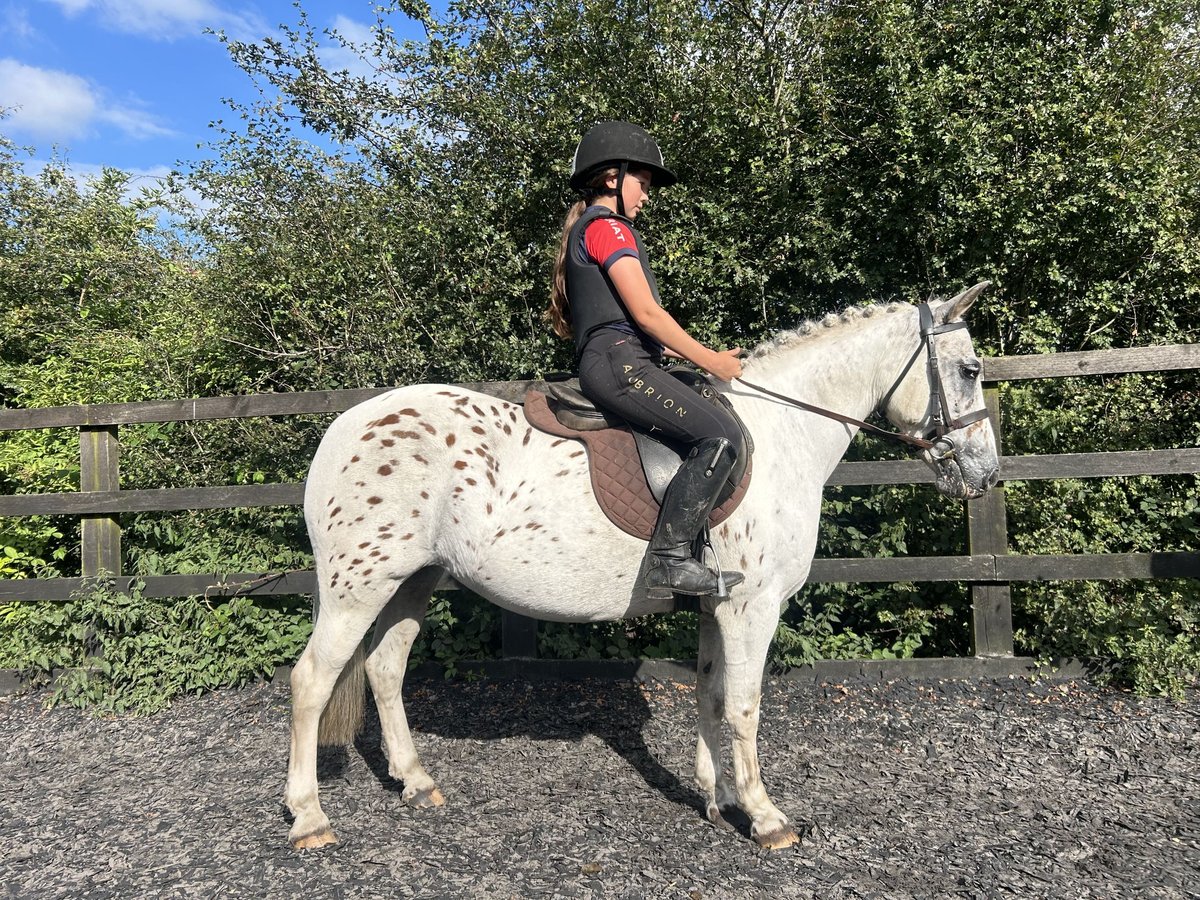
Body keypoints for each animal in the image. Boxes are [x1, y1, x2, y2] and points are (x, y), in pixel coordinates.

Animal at [283, 282, 1003, 854]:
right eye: (970, 369)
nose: (986, 475)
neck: (782, 434)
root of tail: (342, 426)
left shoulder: (717, 604)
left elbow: (712, 694)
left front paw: (717, 800)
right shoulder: (752, 606)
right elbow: (744, 705)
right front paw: (766, 818)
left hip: (413, 582)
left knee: (384, 669)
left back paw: (417, 782)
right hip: (358, 587)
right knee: (311, 681)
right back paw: (310, 819)